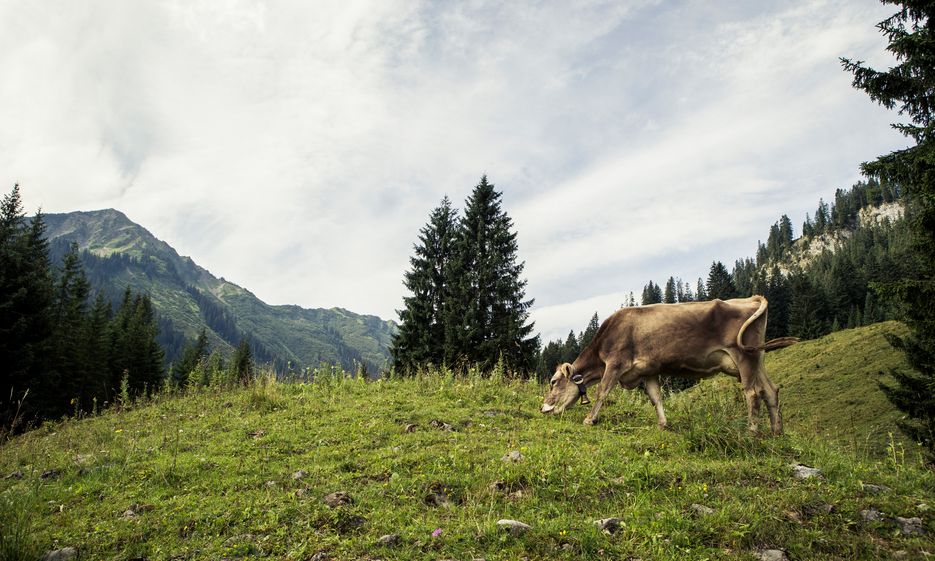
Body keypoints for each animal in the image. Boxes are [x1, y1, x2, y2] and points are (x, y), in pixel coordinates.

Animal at [540, 296, 797, 435]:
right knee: (770, 390)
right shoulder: (648, 370)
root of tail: (752, 298)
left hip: (743, 357)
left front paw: (589, 419)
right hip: (756, 358)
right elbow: (656, 398)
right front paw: (663, 424)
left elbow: (602, 391)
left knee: (752, 393)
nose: (543, 408)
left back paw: (752, 431)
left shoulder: (615, 362)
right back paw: (777, 432)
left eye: (553, 382)